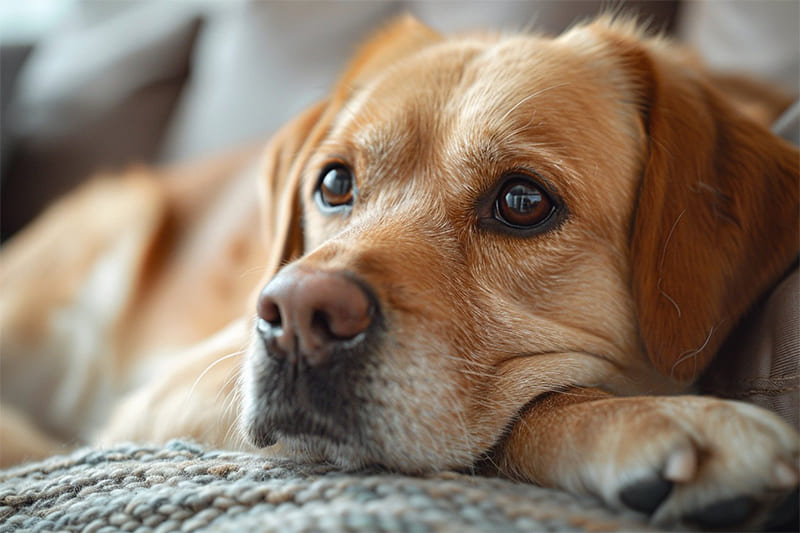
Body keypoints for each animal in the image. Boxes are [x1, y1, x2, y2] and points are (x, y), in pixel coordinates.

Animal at [1, 15, 800, 528]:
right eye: (333, 184)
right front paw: (647, 418)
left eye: (523, 201)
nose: (297, 315)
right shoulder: (172, 390)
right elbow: (533, 405)